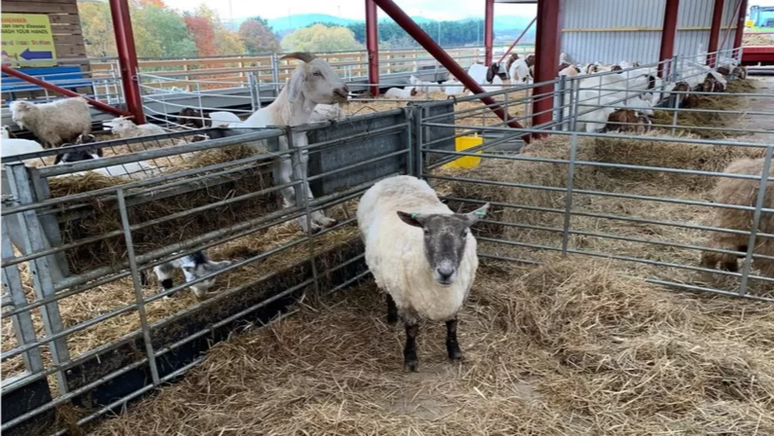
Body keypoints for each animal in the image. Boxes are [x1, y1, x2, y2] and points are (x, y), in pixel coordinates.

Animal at [354, 175, 488, 372]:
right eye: (426, 231)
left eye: (464, 233)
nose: (445, 272)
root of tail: (395, 177)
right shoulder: (406, 301)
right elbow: (411, 330)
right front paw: (410, 359)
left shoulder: (460, 296)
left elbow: (452, 324)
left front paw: (454, 351)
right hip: (387, 275)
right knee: (388, 293)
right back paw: (392, 317)